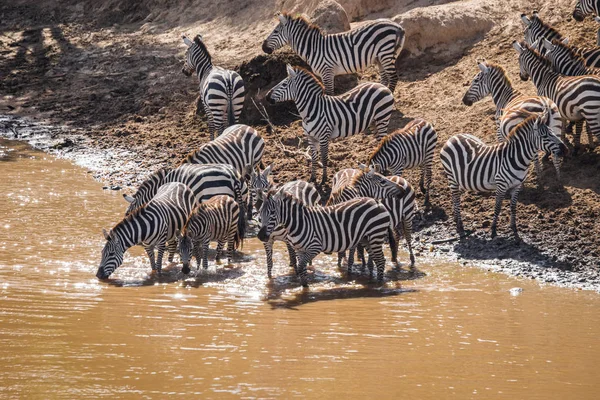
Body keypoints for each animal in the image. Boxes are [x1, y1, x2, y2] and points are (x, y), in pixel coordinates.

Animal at [256, 192, 390, 286]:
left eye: (273, 212)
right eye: (260, 212)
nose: (261, 236)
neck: (299, 223)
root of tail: (375, 200)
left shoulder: (315, 247)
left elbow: (301, 267)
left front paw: (305, 287)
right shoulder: (299, 249)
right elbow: (301, 269)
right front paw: (304, 288)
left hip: (375, 236)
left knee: (381, 261)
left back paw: (379, 285)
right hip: (366, 239)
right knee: (378, 260)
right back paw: (374, 283)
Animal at [262, 11, 406, 94]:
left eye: (275, 31)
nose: (263, 47)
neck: (313, 47)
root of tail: (396, 26)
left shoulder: (327, 72)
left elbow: (329, 95)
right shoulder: (323, 74)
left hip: (386, 54)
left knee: (393, 77)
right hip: (380, 58)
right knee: (385, 78)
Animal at [438, 112, 568, 241]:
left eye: (553, 132)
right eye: (545, 136)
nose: (565, 150)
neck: (516, 158)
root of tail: (454, 136)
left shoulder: (517, 186)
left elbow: (513, 207)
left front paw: (514, 227)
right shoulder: (501, 185)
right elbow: (498, 207)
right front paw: (493, 229)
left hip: (460, 179)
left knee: (455, 197)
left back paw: (456, 219)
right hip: (451, 176)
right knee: (456, 199)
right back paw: (460, 225)